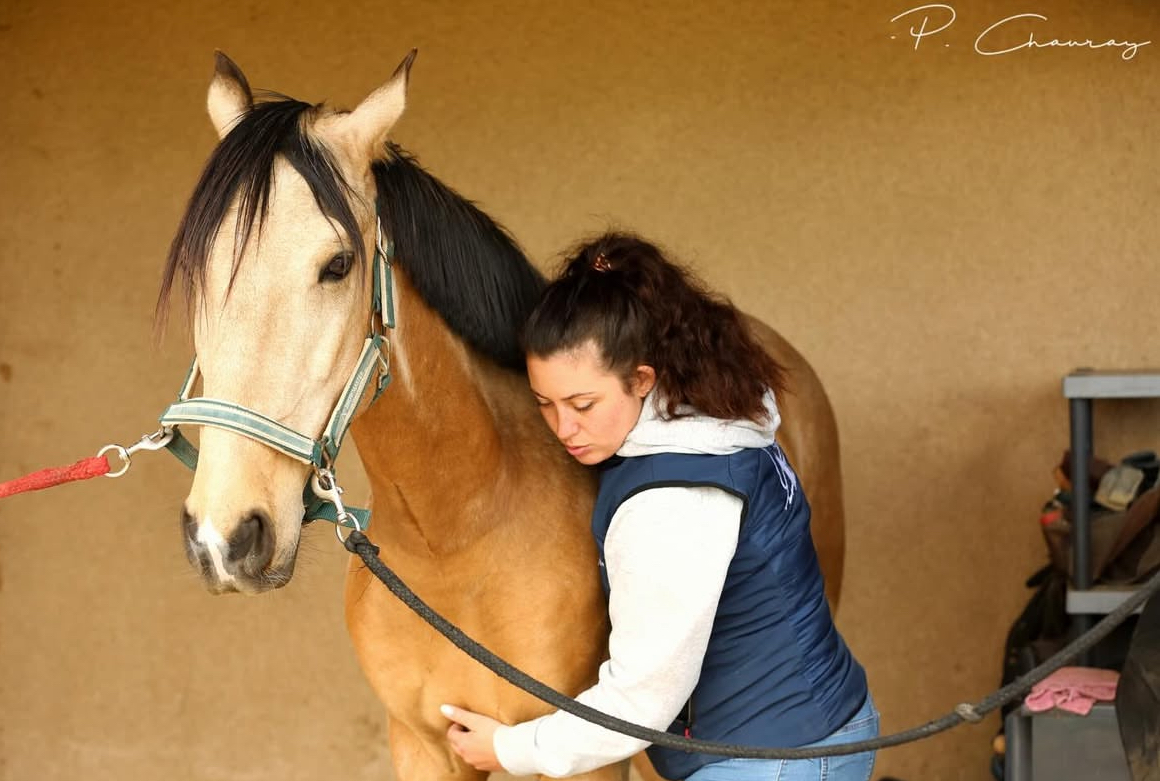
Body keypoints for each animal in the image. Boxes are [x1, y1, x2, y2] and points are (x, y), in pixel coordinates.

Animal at [156, 51, 846, 781]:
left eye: (337, 264)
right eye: (199, 273)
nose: (225, 537)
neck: (458, 534)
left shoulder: (581, 753)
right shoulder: (421, 744)